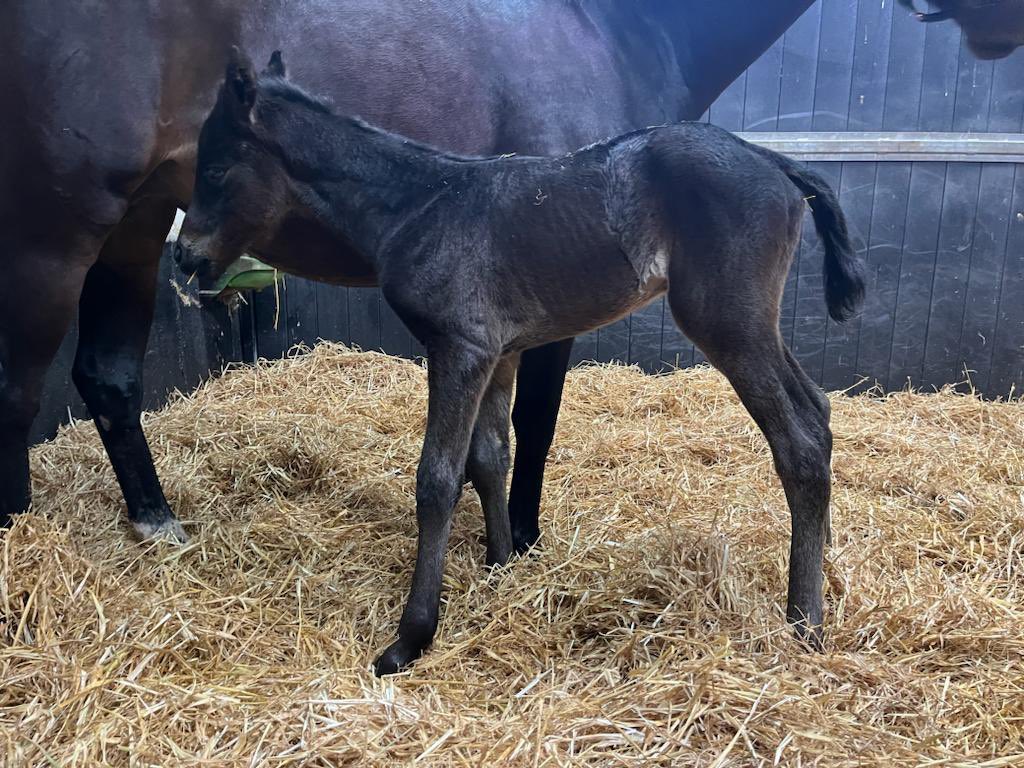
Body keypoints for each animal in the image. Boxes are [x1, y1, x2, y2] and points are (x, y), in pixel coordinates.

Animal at [0, 0, 815, 545]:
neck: (613, 33)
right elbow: (536, 423)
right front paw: (521, 538)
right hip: (51, 241)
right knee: (19, 389)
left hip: (134, 231)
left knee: (107, 377)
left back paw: (156, 520)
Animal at [175, 50, 866, 674]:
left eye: (216, 168)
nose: (183, 257)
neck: (416, 204)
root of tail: (777, 162)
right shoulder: (498, 353)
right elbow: (490, 456)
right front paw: (500, 565)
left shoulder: (459, 348)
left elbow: (438, 478)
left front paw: (411, 638)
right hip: (751, 323)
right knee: (819, 409)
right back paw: (827, 561)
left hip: (728, 322)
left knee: (800, 439)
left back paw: (805, 623)